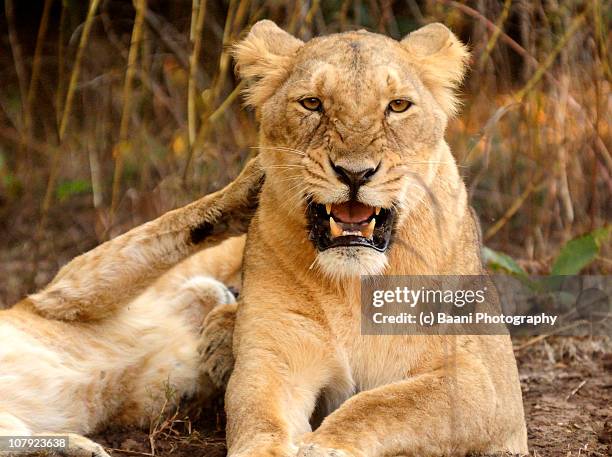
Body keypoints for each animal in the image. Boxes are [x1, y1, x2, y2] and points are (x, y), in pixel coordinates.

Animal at [0, 159, 260, 454]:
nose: (233, 290)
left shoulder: (150, 398)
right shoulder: (65, 295)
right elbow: (153, 230)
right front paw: (248, 184)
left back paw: (77, 448)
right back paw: (79, 447)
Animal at [200, 19, 524, 454]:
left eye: (398, 106)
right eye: (312, 103)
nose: (355, 173)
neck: (352, 287)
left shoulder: (487, 381)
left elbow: (384, 403)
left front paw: (324, 446)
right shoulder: (272, 358)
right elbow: (258, 412)